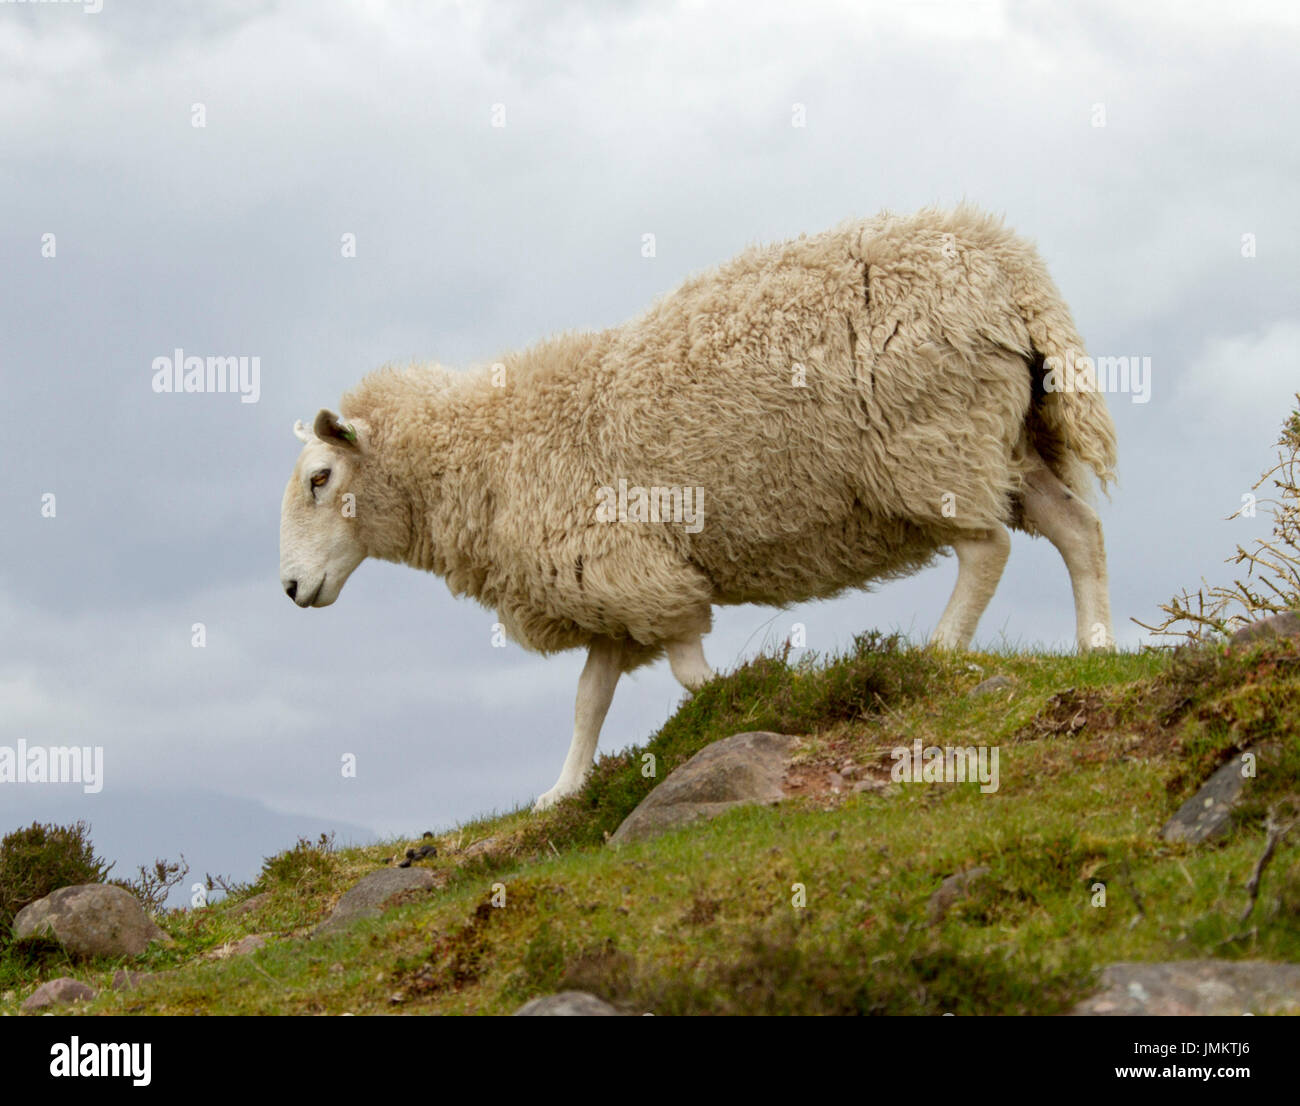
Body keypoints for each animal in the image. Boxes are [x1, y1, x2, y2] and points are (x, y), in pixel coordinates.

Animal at [279, 204, 1118, 810]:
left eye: (320, 478)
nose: (289, 588)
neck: (489, 450)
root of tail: (1010, 267)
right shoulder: (607, 590)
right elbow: (588, 700)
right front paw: (562, 791)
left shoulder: (641, 572)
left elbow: (690, 677)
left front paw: (753, 696)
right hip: (1013, 438)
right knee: (1079, 529)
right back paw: (1097, 644)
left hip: (934, 443)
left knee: (985, 549)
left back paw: (938, 649)